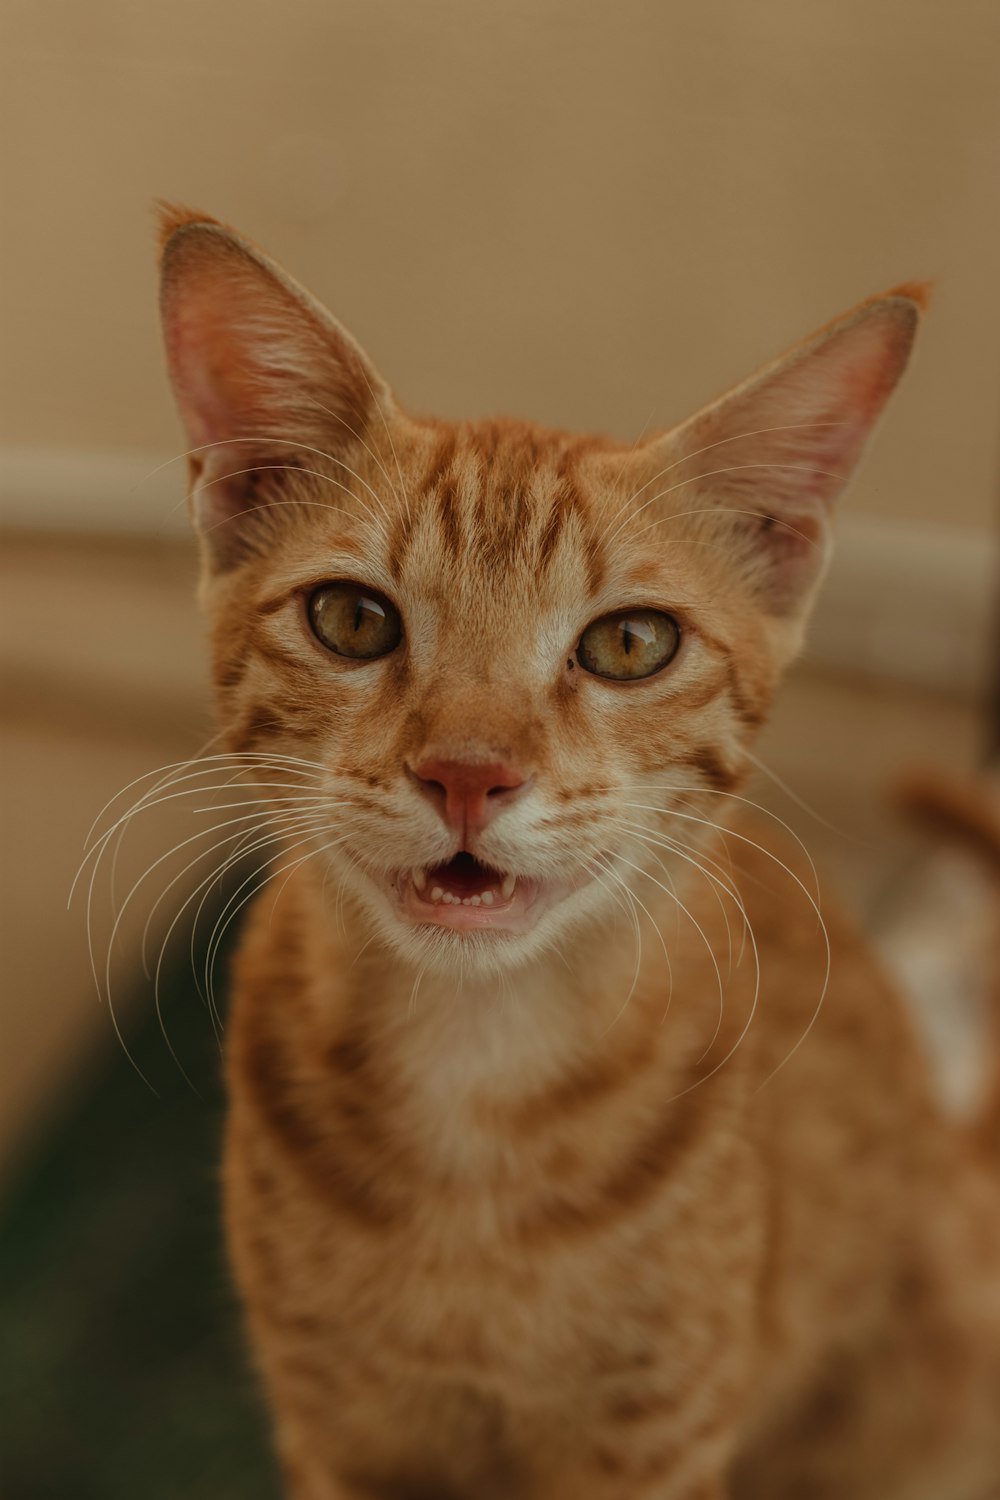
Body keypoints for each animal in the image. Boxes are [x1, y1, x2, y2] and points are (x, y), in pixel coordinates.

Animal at [156, 205, 1000, 1494]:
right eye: (351, 619)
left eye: (630, 644)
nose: (467, 772)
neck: (474, 1078)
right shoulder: (338, 1439)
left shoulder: (653, 1448)